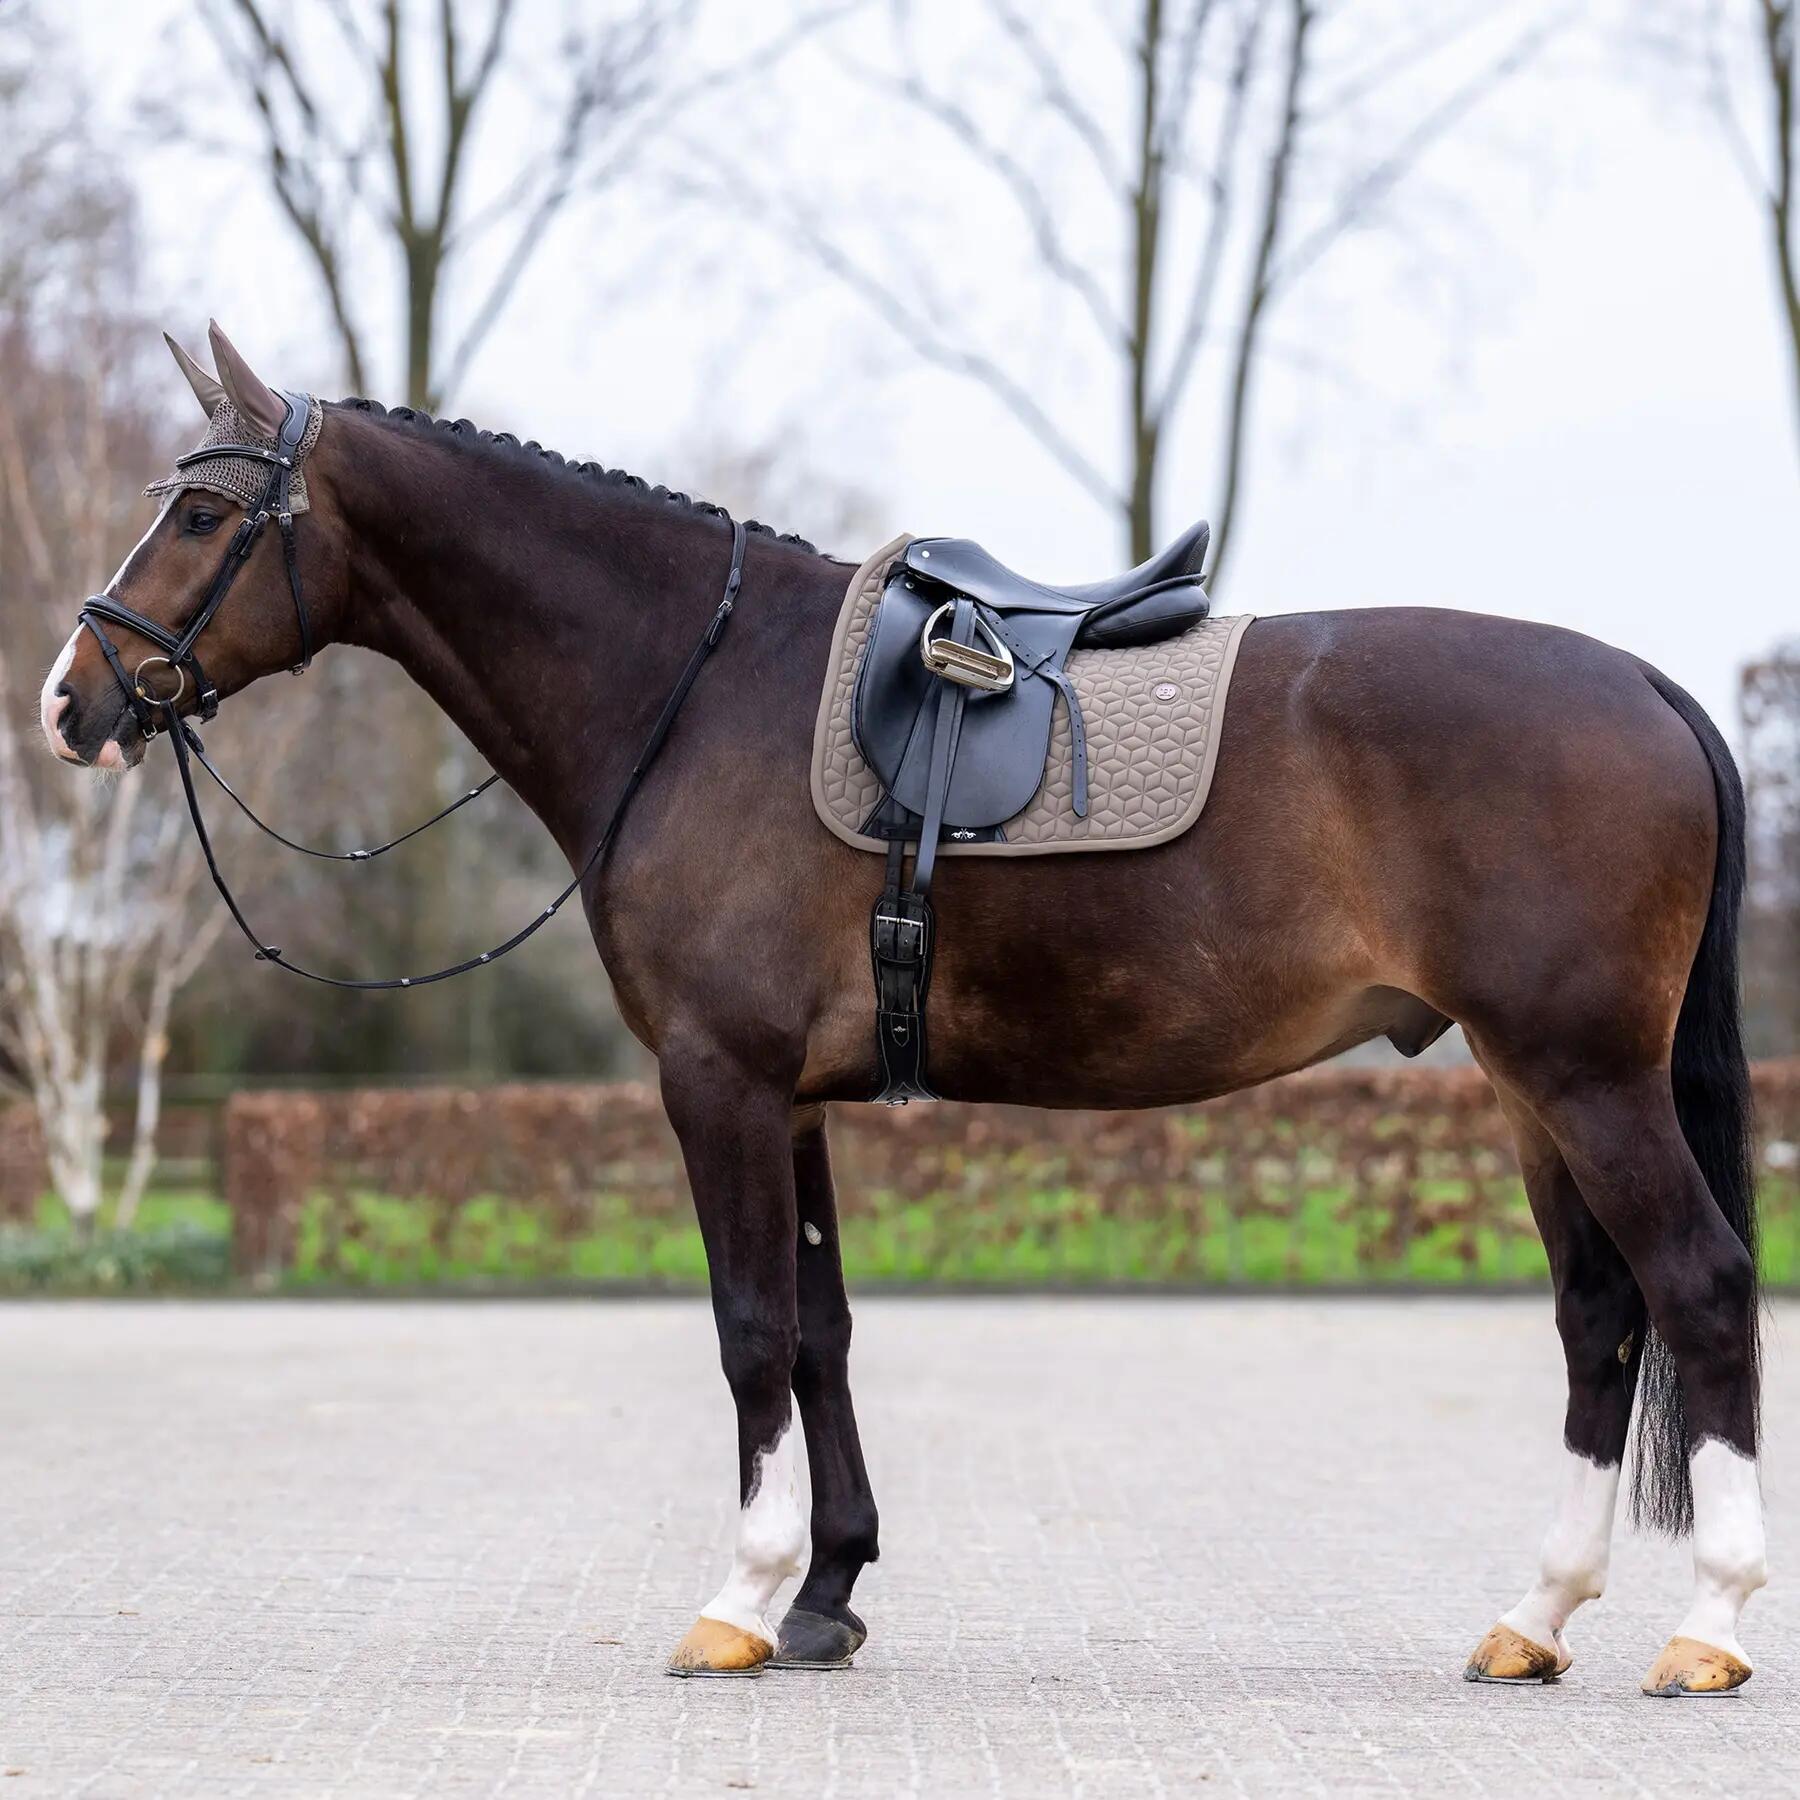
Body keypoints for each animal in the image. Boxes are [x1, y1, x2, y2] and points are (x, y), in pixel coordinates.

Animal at [42, 324, 1764, 1694]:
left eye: (203, 512)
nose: (74, 698)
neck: (693, 690)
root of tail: (1650, 687)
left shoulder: (717, 1084)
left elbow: (748, 1329)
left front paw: (738, 1602)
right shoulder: (790, 1099)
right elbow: (822, 1333)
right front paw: (824, 1595)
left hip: (1588, 1078)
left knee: (1698, 1284)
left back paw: (1713, 1627)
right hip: (1531, 1089)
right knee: (1600, 1320)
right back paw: (1535, 1617)